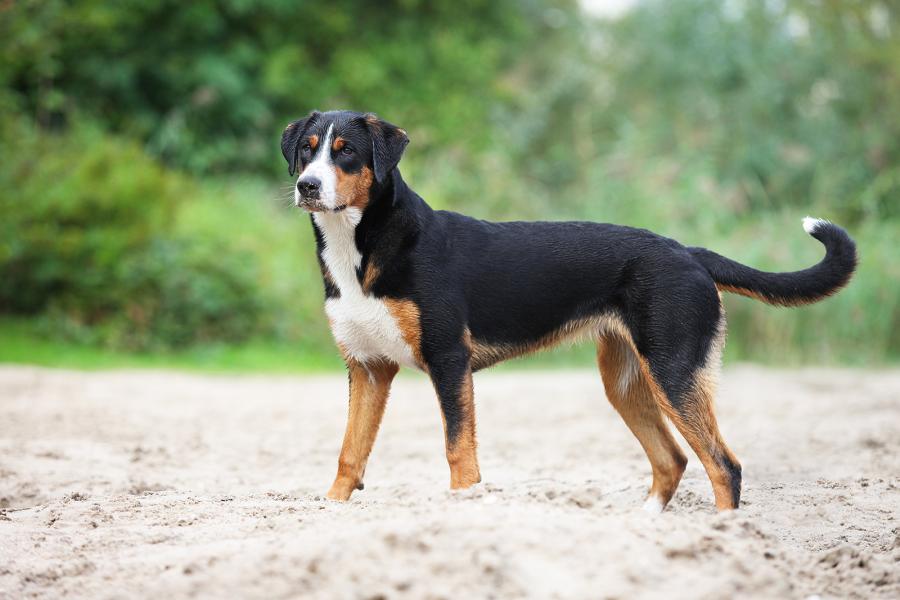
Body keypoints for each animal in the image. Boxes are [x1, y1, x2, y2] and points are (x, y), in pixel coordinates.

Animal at [280, 109, 856, 510]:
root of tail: (688, 252)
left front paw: (464, 510)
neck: (362, 248)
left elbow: (458, 451)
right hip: (627, 382)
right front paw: (331, 510)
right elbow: (349, 452)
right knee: (672, 460)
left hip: (673, 373)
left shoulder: (448, 361)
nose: (307, 186)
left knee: (724, 466)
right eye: (307, 151)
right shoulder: (368, 368)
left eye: (346, 152)